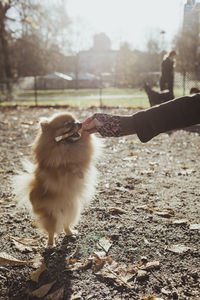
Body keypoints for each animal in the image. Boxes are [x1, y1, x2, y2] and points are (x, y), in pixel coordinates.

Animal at [13, 112, 101, 246]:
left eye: (75, 120)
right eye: (68, 124)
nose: (80, 123)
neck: (65, 146)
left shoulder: (83, 157)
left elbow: (82, 160)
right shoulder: (57, 170)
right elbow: (67, 166)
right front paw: (75, 170)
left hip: (72, 211)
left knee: (65, 224)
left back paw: (70, 233)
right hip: (52, 216)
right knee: (51, 231)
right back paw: (50, 244)